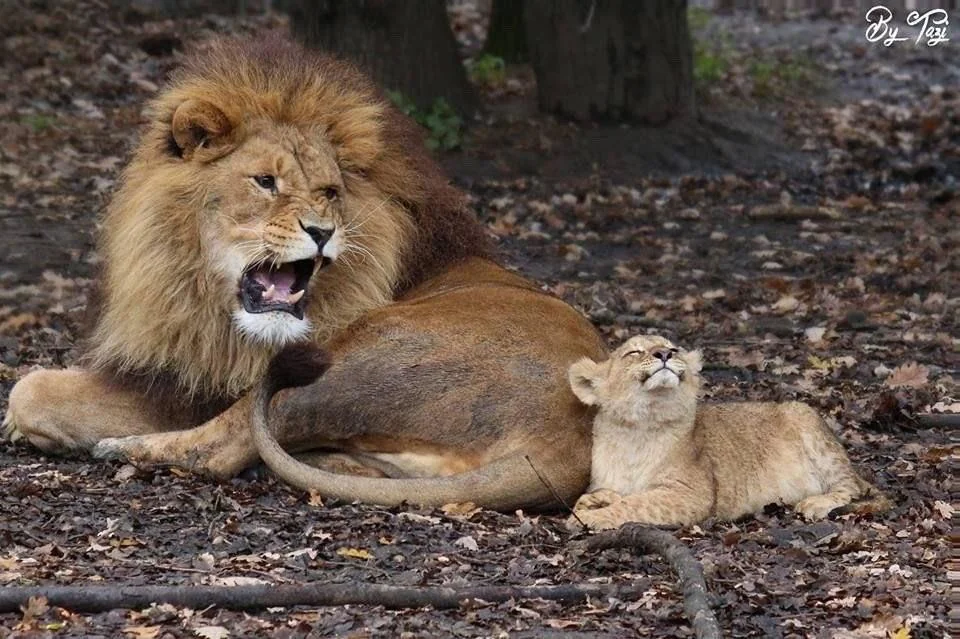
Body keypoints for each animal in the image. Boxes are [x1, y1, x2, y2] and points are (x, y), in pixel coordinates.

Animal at [2, 36, 607, 511]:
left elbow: (29, 388)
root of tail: (563, 443)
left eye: (329, 191)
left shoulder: (203, 386)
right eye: (265, 182)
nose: (321, 230)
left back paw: (123, 450)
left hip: (353, 357)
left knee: (224, 445)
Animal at [566, 335, 888, 529]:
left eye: (674, 348)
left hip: (805, 417)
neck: (639, 427)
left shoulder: (690, 494)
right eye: (633, 352)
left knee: (851, 488)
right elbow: (610, 495)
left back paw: (815, 504)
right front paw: (594, 502)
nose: (664, 353)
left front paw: (589, 517)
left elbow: (637, 503)